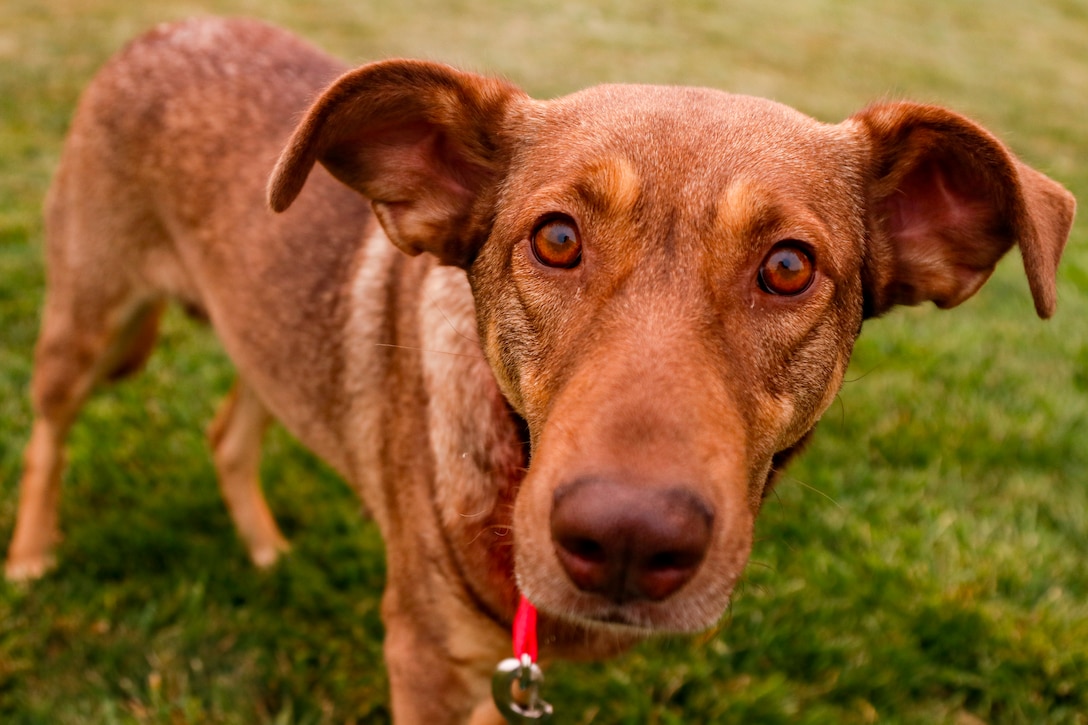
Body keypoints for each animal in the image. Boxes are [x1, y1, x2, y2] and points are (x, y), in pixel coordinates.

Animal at [4, 16, 1074, 722]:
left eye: (788, 267)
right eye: (555, 239)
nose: (629, 541)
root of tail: (165, 27)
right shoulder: (424, 661)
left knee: (230, 425)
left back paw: (263, 544)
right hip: (85, 323)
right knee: (50, 428)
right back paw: (31, 553)